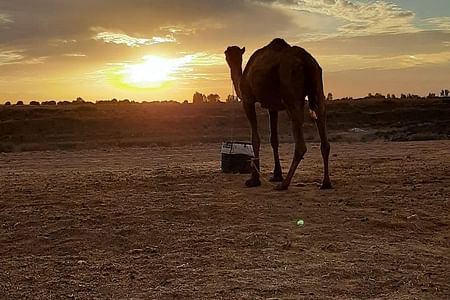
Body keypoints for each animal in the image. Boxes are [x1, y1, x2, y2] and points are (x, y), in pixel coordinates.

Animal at [224, 38, 330, 190]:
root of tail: (306, 59)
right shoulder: (272, 107)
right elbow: (274, 139)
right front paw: (276, 175)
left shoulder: (248, 100)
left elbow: (255, 139)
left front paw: (254, 180)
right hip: (317, 82)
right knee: (321, 117)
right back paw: (326, 182)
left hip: (290, 87)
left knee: (300, 140)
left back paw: (284, 184)